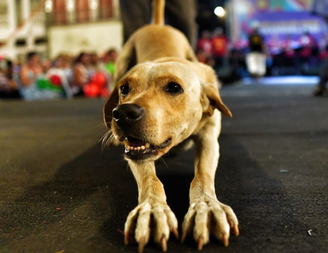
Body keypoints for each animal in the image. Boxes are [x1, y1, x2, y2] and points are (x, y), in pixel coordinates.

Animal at [102, 0, 238, 250]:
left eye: (174, 87)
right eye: (125, 89)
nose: (123, 114)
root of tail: (157, 24)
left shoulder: (209, 139)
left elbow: (202, 176)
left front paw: (206, 206)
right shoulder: (136, 153)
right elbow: (151, 180)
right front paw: (152, 208)